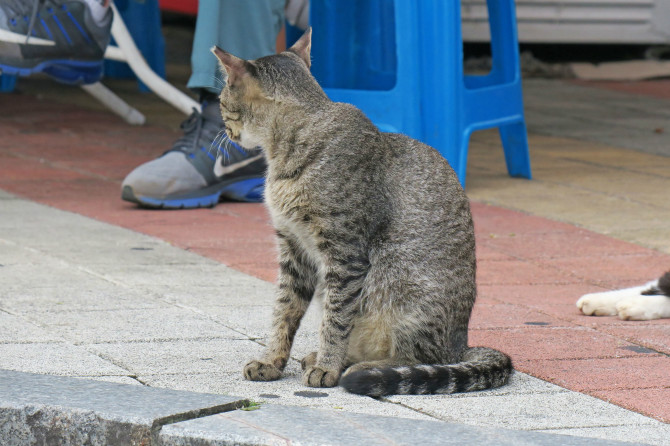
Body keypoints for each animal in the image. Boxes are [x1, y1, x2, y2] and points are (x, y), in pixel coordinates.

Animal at [214, 29, 516, 396]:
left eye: (221, 102)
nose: (224, 130)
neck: (282, 157)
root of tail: (462, 344)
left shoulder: (344, 254)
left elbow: (335, 318)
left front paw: (327, 366)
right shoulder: (293, 248)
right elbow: (283, 311)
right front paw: (272, 360)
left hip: (398, 282)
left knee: (421, 358)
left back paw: (361, 366)